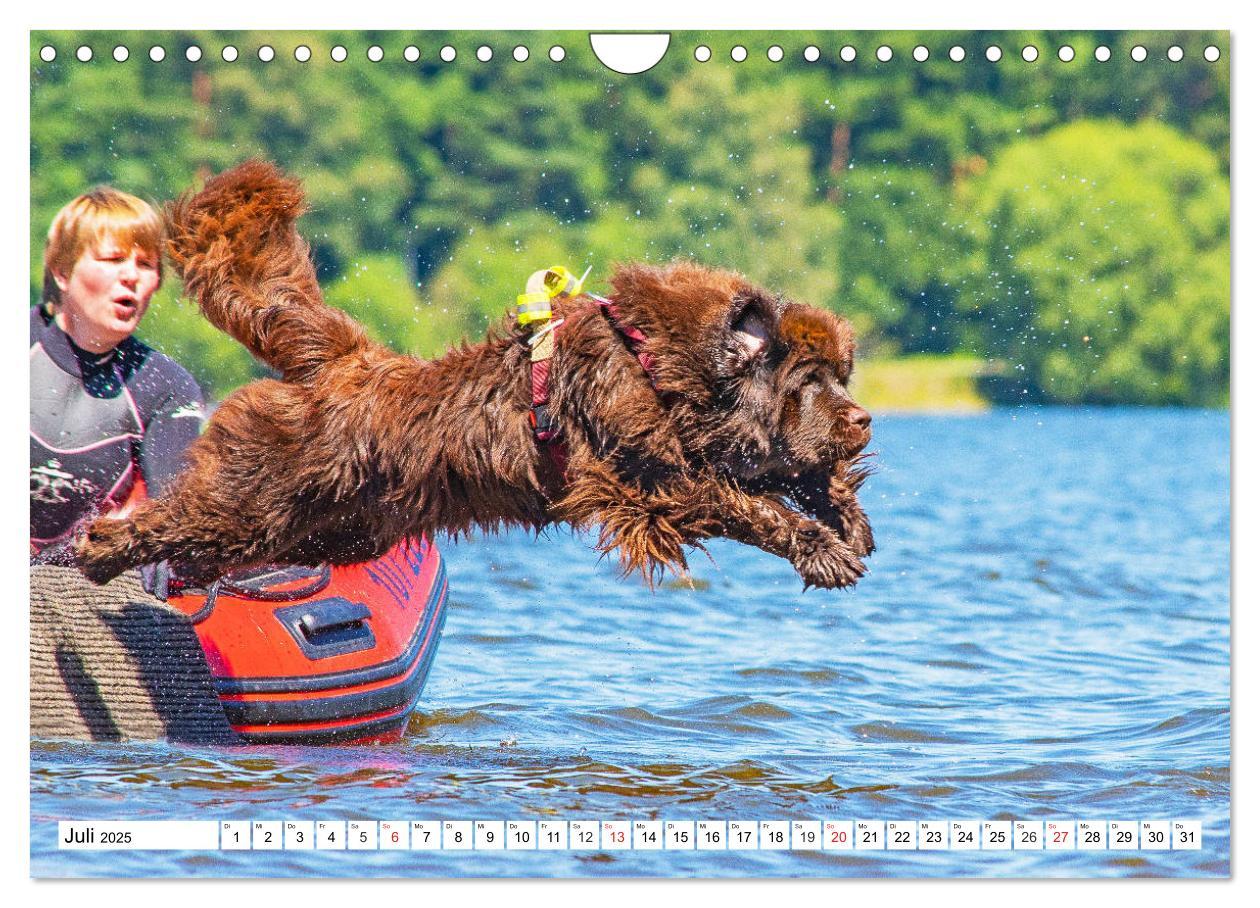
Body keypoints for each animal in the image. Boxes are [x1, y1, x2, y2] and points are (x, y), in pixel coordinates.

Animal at [73, 161, 871, 586]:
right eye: (810, 382)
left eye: (844, 376)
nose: (864, 419)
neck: (659, 363)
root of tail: (346, 361)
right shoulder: (645, 476)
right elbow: (741, 502)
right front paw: (822, 547)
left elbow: (784, 473)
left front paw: (847, 520)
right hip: (256, 489)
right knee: (181, 517)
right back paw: (101, 551)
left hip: (329, 527)